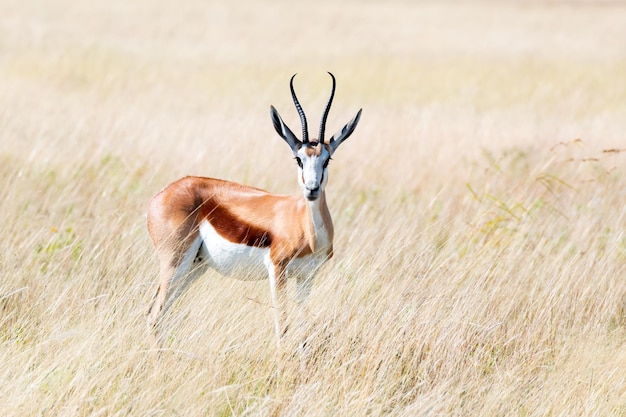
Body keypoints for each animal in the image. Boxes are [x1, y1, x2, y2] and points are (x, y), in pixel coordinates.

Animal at [146, 72, 360, 344]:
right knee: (154, 314)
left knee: (160, 312)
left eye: (327, 159)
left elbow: (302, 329)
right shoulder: (277, 270)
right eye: (298, 159)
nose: (311, 189)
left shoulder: (306, 277)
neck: (306, 229)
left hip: (195, 266)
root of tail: (161, 194)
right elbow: (282, 326)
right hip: (176, 262)